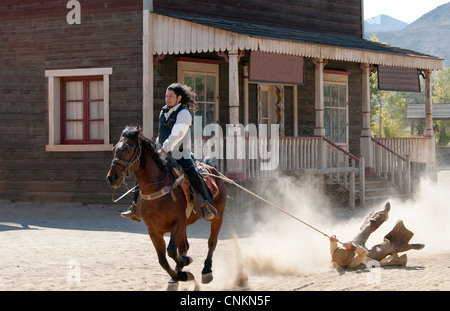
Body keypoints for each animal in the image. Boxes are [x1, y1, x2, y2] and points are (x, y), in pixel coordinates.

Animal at [106, 125, 229, 288]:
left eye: (130, 148)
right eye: (115, 149)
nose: (112, 177)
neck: (157, 189)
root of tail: (213, 170)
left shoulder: (178, 223)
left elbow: (171, 250)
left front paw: (184, 265)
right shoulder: (154, 231)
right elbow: (163, 259)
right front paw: (181, 274)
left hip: (218, 216)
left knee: (211, 242)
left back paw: (206, 270)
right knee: (184, 246)